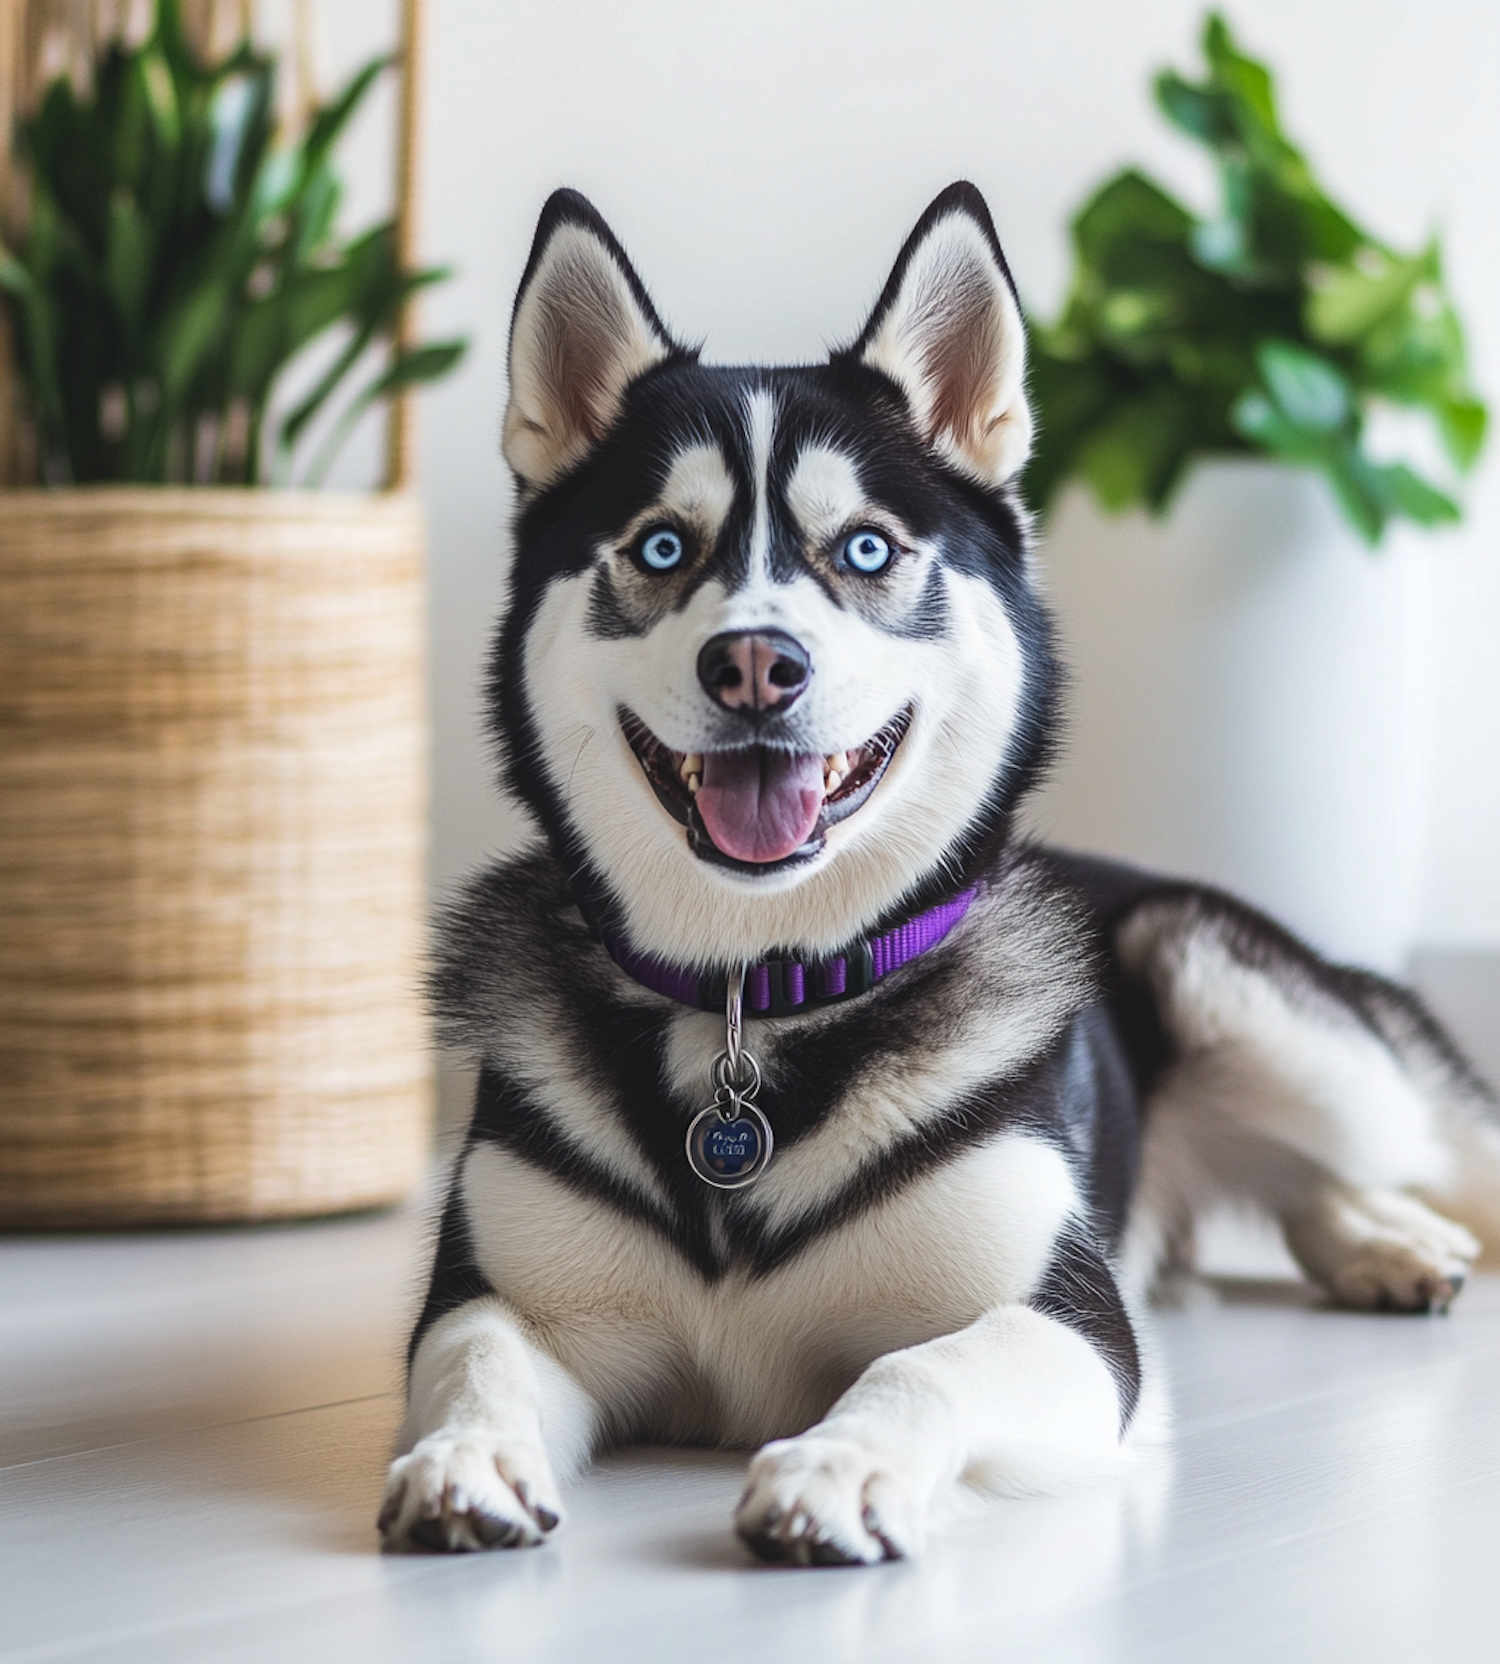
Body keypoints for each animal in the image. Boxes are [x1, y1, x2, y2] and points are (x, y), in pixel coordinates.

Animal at [377, 188, 1498, 1564]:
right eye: (661, 546)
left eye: (865, 548)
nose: (757, 663)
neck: (755, 999)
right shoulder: (505, 1291)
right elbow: (474, 1353)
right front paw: (464, 1457)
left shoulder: (1068, 1320)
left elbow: (921, 1364)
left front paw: (837, 1464)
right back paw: (1378, 1239)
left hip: (1247, 1000)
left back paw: (1397, 1224)